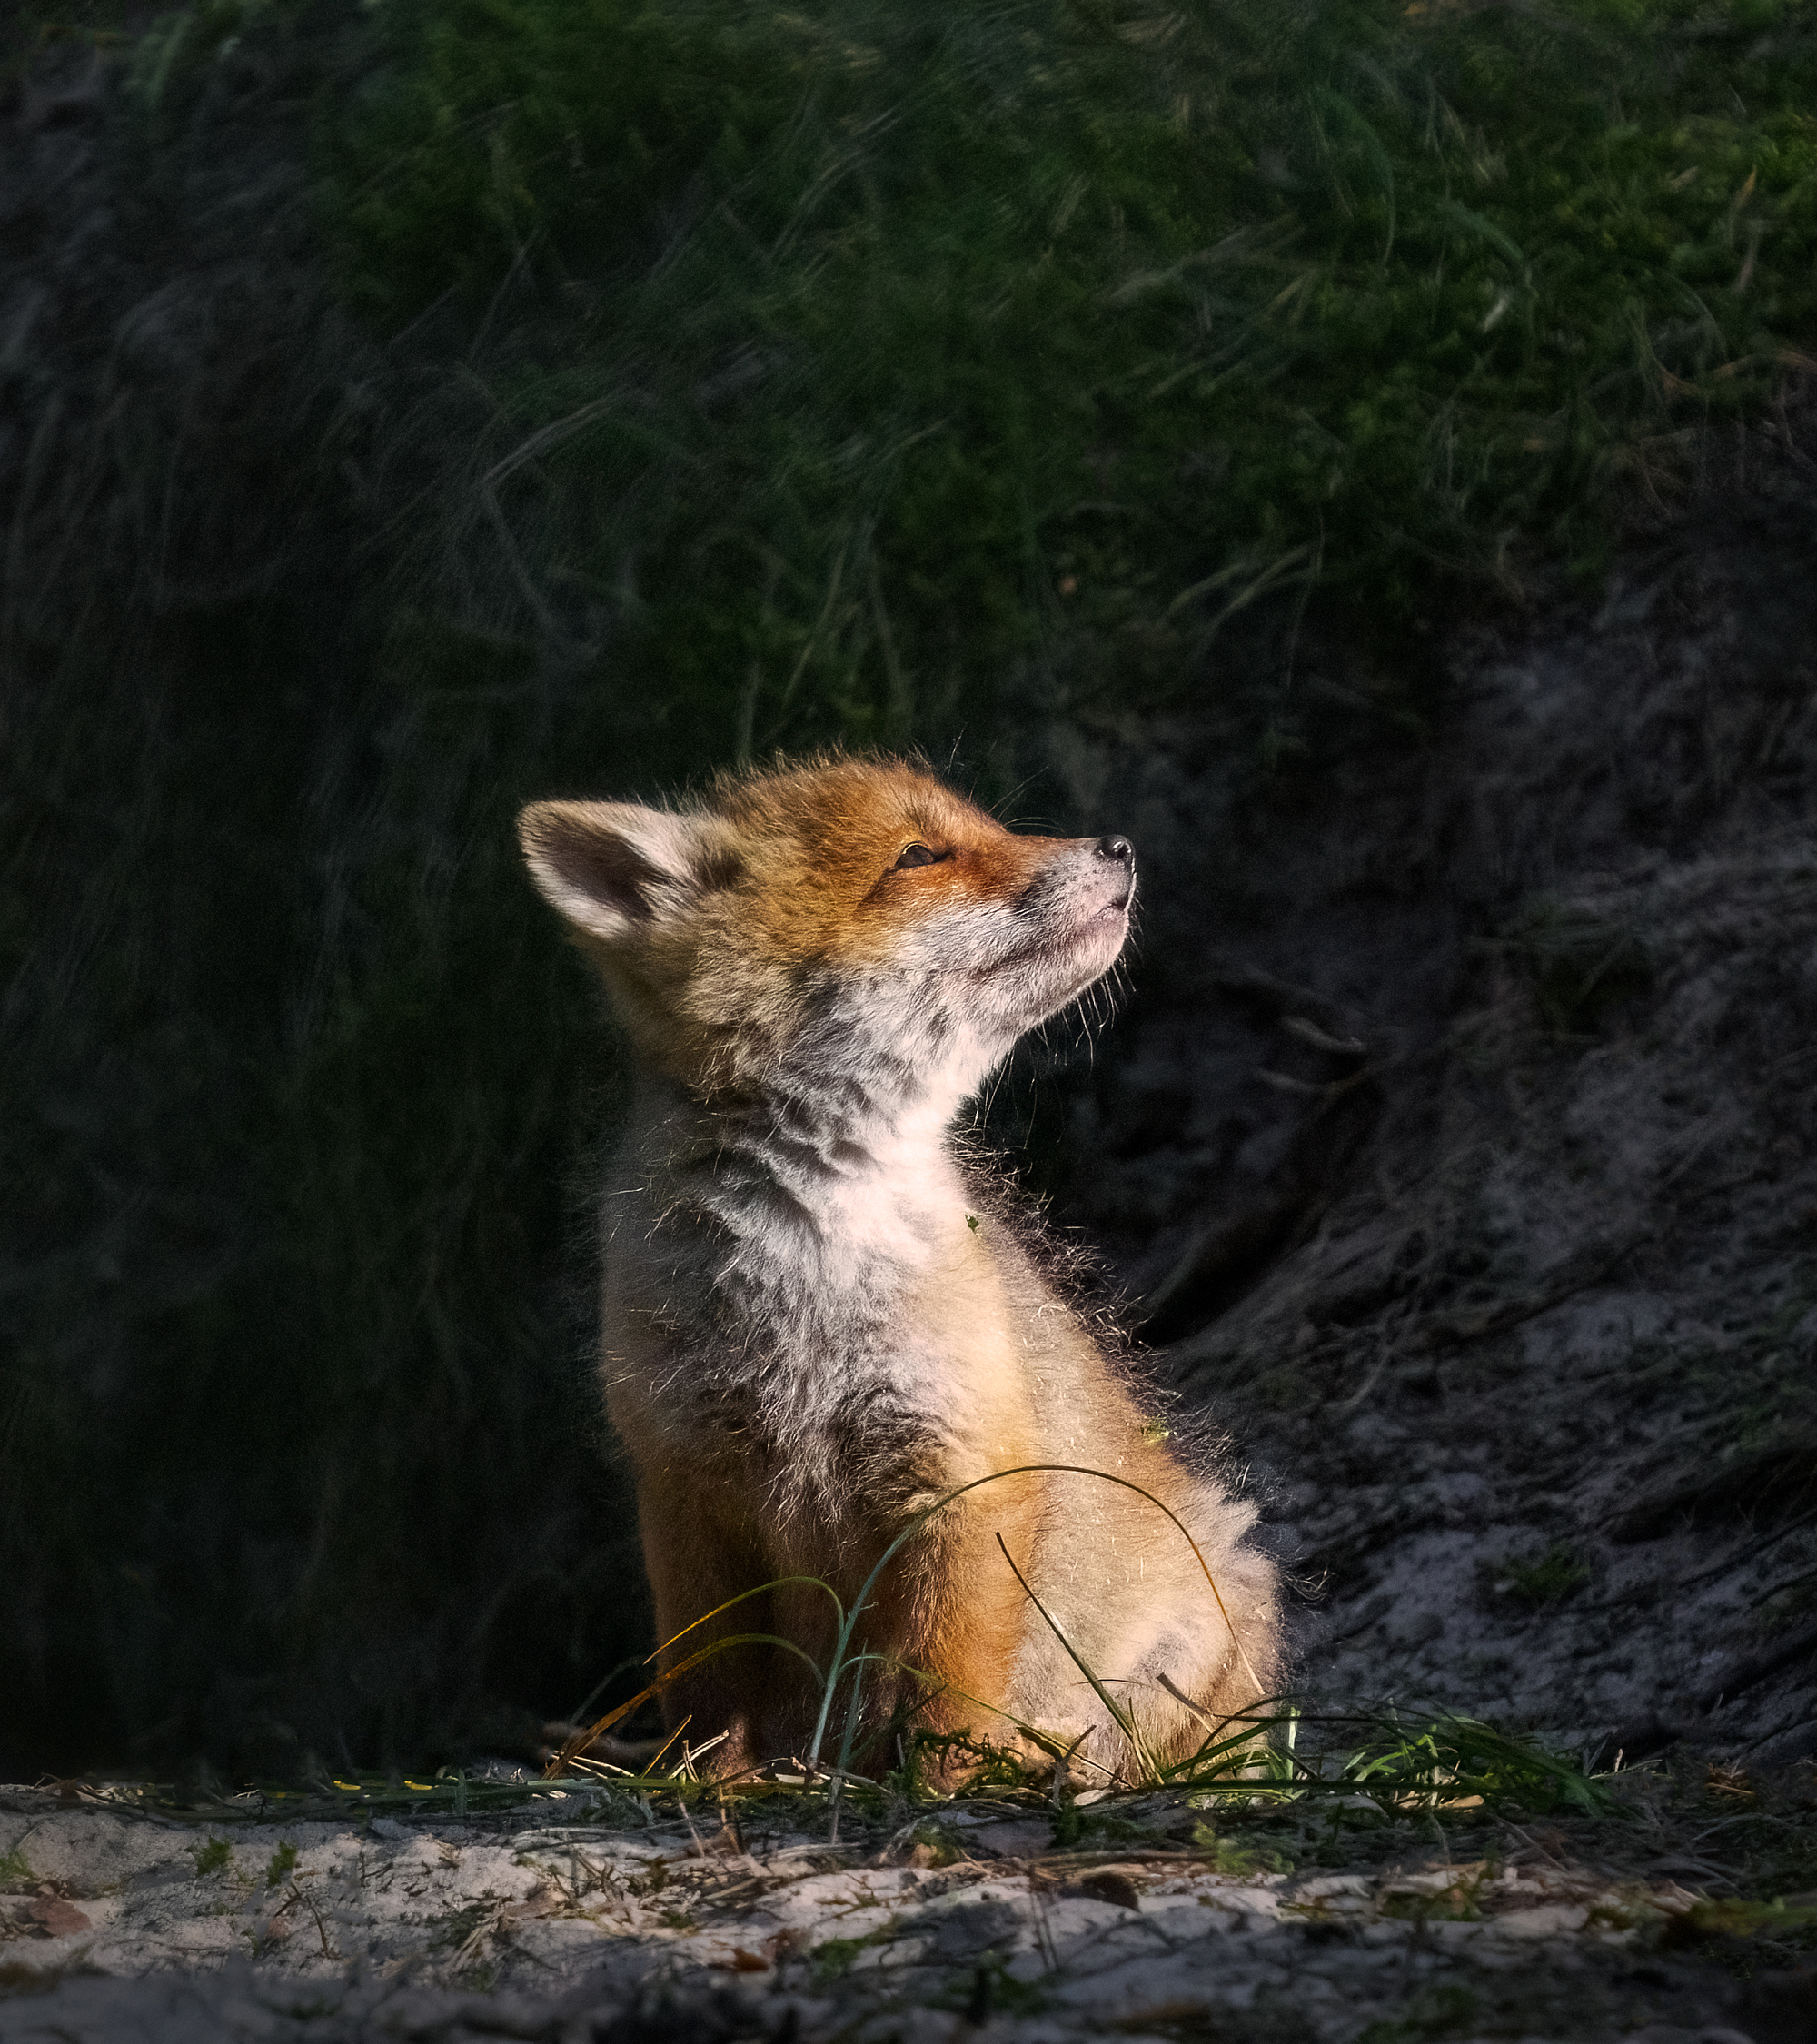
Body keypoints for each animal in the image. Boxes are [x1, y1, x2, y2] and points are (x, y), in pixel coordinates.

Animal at [518, 754, 1279, 1784]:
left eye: (984, 826)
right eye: (919, 856)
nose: (1119, 846)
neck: (806, 1265)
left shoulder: (963, 1470)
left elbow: (946, 1683)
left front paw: (942, 1788)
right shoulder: (684, 1479)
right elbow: (713, 1687)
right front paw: (710, 1788)